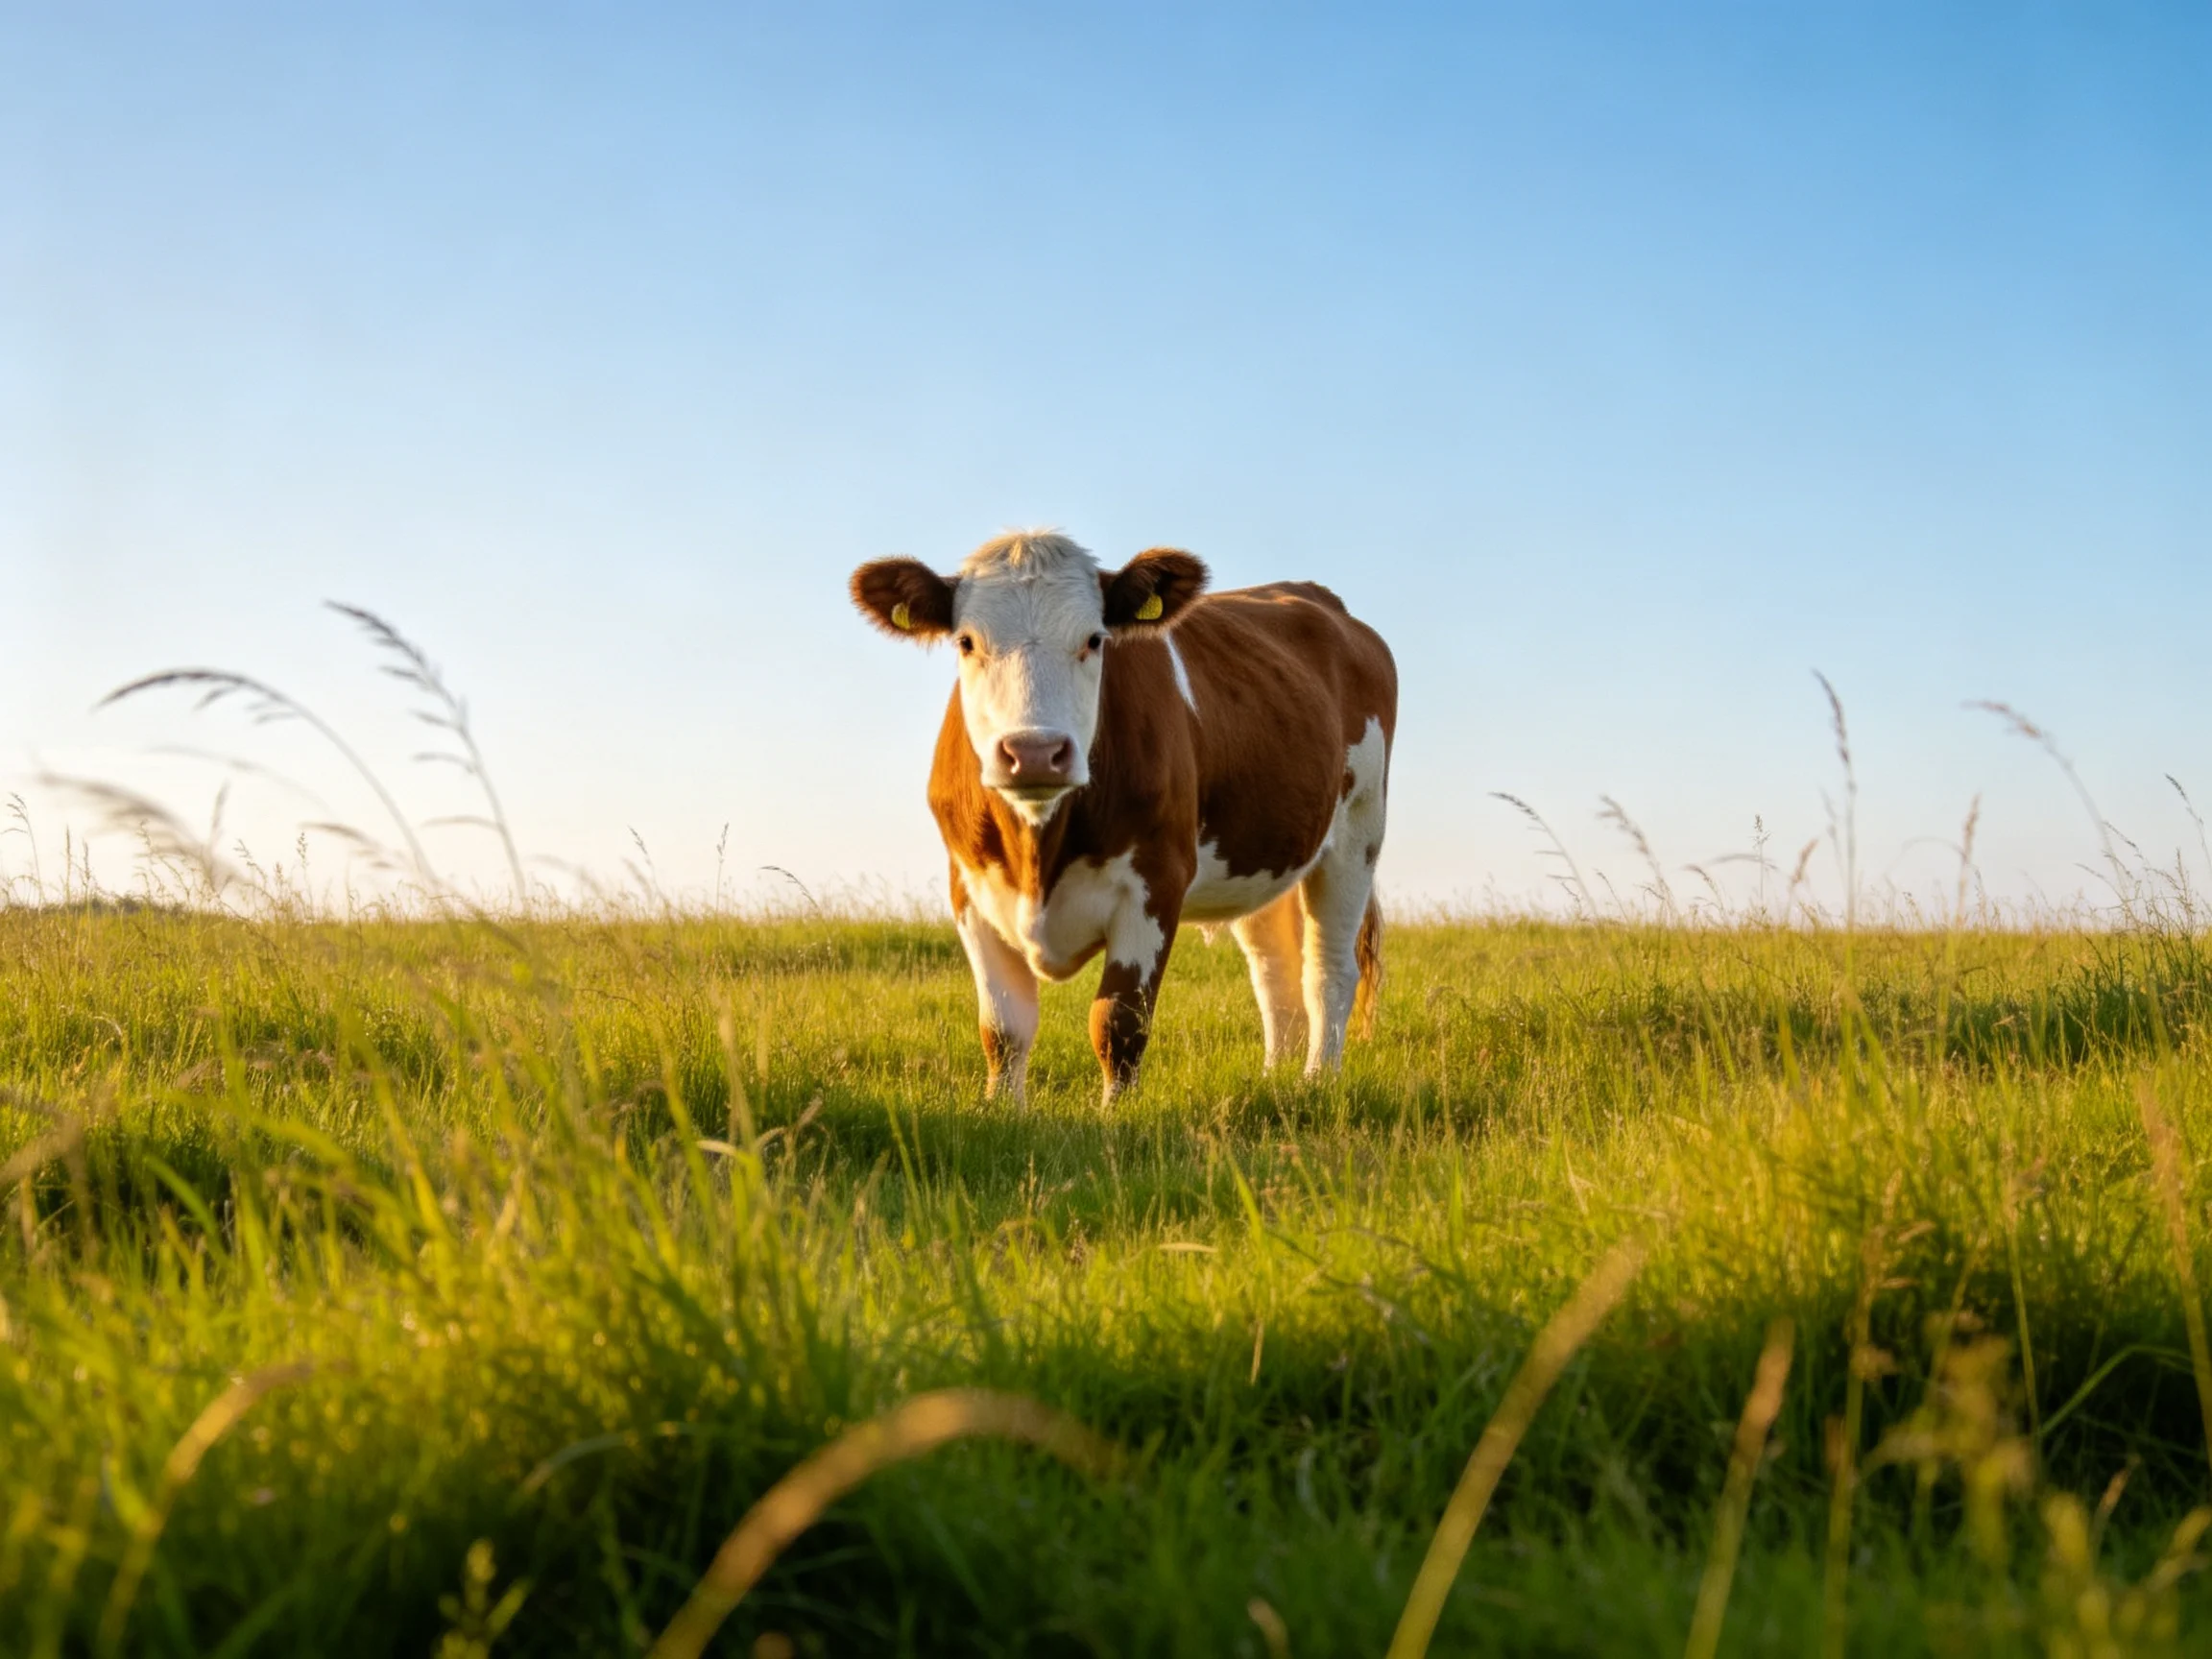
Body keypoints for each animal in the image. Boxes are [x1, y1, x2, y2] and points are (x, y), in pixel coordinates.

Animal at [850, 531, 1397, 1106]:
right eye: (966, 642)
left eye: (1095, 640)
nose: (1035, 752)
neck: (1039, 848)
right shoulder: (968, 889)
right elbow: (1003, 1027)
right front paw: (1000, 1109)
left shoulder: (1156, 883)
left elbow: (1117, 1023)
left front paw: (1116, 1114)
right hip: (1260, 853)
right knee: (1274, 971)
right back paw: (1276, 1080)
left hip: (1357, 836)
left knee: (1329, 969)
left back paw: (1319, 1081)